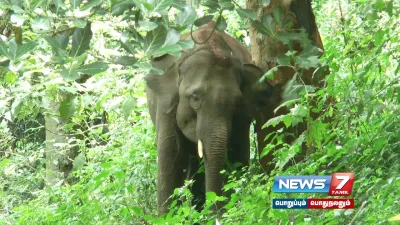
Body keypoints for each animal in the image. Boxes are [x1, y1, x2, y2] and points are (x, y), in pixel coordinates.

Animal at [145, 21, 278, 216]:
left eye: (237, 102)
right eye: (194, 98)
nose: (216, 211)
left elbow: (237, 154)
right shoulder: (166, 104)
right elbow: (171, 158)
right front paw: (167, 217)